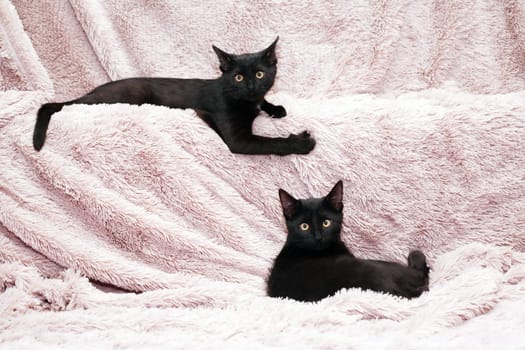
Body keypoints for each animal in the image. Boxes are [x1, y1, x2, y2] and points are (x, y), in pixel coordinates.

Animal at [32, 36, 316, 154]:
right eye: (238, 77)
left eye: (258, 74)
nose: (250, 87)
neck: (245, 102)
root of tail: (90, 92)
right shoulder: (239, 140)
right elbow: (270, 143)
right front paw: (301, 143)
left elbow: (265, 103)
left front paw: (275, 108)